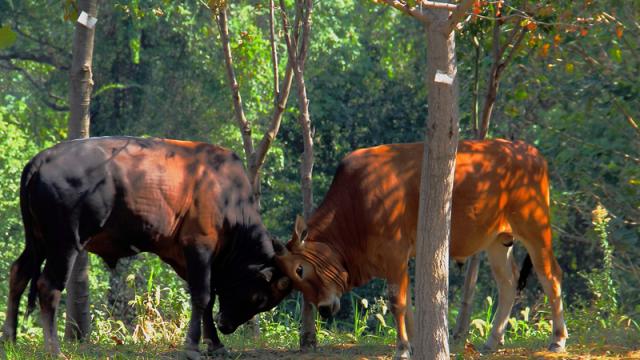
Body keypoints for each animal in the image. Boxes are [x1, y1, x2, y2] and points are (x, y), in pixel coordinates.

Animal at [1, 137, 292, 358]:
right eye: (260, 298)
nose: (227, 325)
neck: (227, 195)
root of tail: (41, 159)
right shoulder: (199, 248)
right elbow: (202, 297)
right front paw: (193, 347)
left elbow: (207, 300)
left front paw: (217, 345)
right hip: (65, 244)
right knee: (48, 287)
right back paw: (54, 349)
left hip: (38, 241)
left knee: (19, 273)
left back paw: (9, 340)